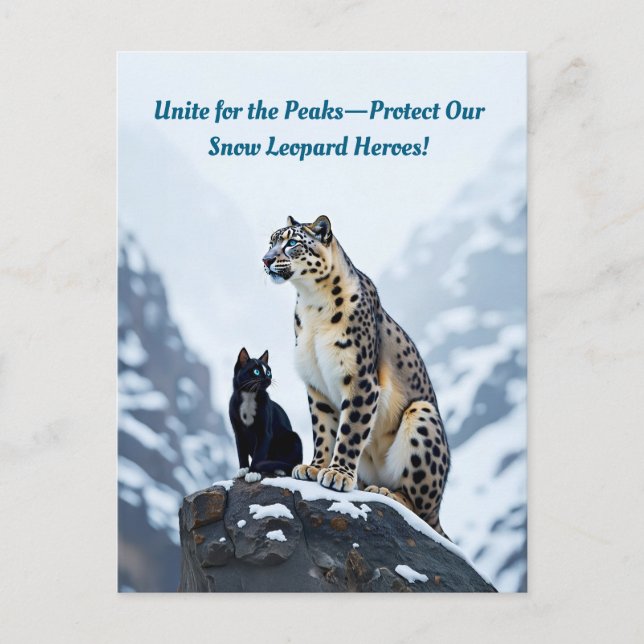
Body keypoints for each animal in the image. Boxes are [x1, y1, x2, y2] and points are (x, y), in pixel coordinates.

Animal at [262, 215, 450, 538]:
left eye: (292, 242)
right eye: (271, 240)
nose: (266, 259)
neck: (311, 305)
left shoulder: (360, 379)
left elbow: (350, 430)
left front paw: (337, 474)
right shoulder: (317, 385)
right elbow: (324, 429)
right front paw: (315, 467)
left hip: (422, 415)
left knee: (424, 512)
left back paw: (387, 492)